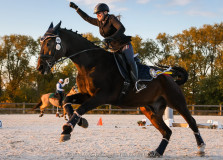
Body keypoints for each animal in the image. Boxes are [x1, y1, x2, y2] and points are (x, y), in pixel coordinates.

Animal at [37, 21, 206, 158]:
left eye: (50, 43)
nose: (40, 67)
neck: (90, 64)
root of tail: (168, 77)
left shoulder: (101, 96)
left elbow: (81, 108)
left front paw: (67, 129)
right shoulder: (87, 94)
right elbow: (67, 101)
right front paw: (80, 122)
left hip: (176, 101)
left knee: (191, 122)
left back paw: (201, 147)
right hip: (150, 109)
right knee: (167, 131)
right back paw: (157, 152)